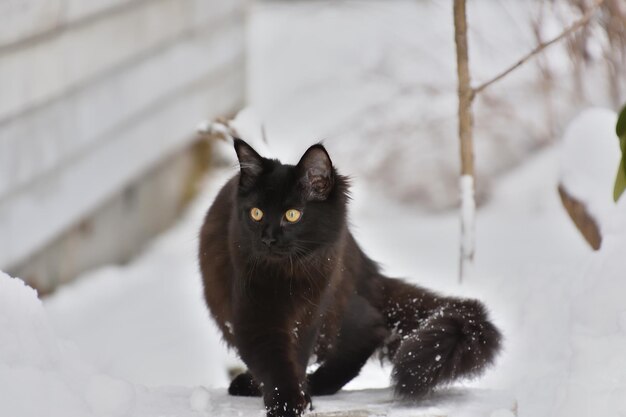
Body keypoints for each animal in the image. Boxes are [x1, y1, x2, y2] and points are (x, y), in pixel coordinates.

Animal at [197, 139, 500, 416]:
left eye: (293, 215)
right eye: (256, 213)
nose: (268, 239)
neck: (291, 273)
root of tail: (365, 267)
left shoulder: (311, 313)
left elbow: (295, 356)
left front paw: (296, 399)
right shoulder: (255, 315)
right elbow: (274, 361)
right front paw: (288, 403)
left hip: (338, 302)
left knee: (371, 328)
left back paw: (313, 384)